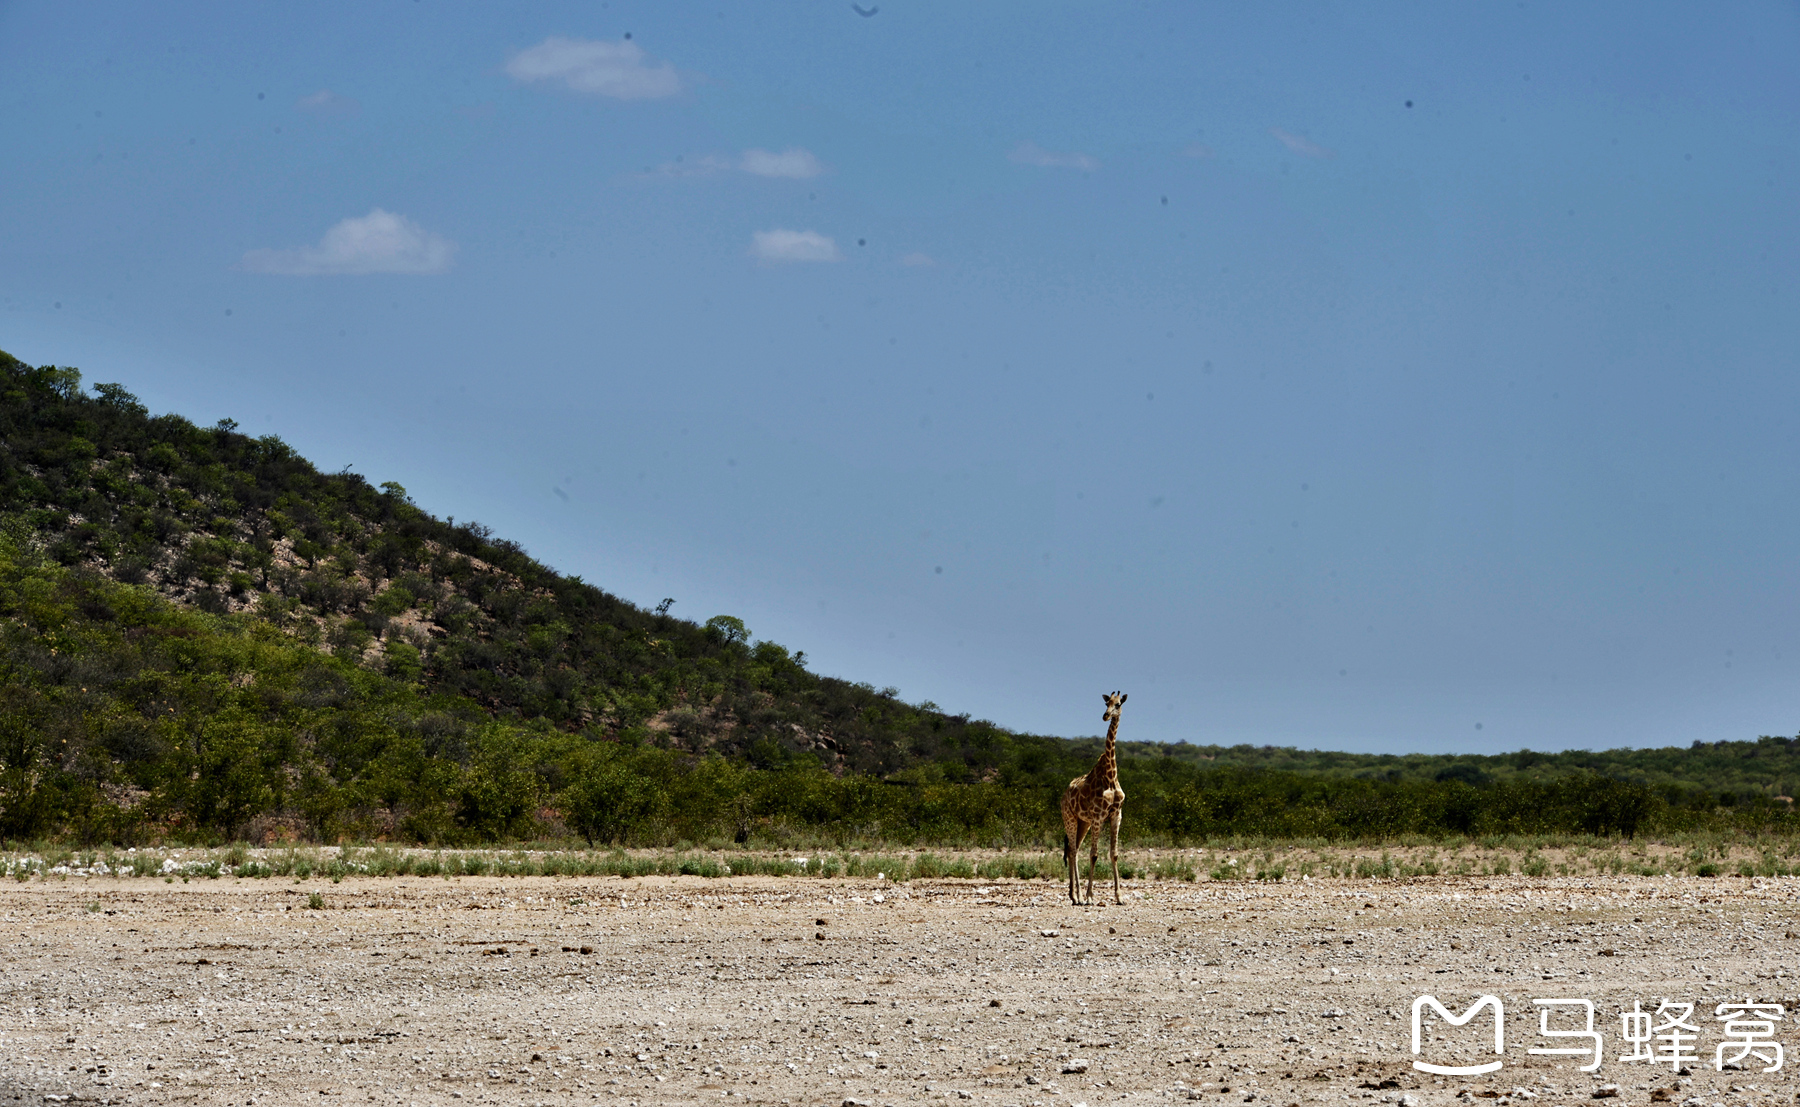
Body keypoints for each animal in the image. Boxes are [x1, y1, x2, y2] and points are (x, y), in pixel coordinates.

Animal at [1051, 691, 1123, 910]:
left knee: (1072, 850)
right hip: (1070, 818)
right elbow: (1094, 855)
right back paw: (1079, 896)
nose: (1106, 716)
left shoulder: (1116, 815)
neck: (1110, 776)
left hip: (1084, 822)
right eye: (1106, 703)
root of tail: (1064, 794)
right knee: (1074, 851)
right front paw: (1091, 896)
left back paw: (1074, 896)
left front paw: (1120, 897)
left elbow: (1114, 854)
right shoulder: (1099, 816)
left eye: (1118, 704)